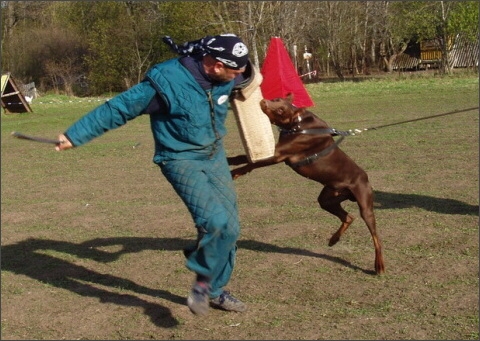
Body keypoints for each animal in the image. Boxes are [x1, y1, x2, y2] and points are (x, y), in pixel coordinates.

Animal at [229, 93, 386, 274]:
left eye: (281, 110)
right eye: (276, 99)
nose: (263, 101)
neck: (296, 124)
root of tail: (366, 178)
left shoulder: (278, 154)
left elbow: (251, 163)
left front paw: (234, 173)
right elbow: (242, 158)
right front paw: (228, 160)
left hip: (365, 205)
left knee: (376, 236)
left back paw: (379, 265)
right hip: (327, 199)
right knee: (348, 217)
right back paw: (334, 239)